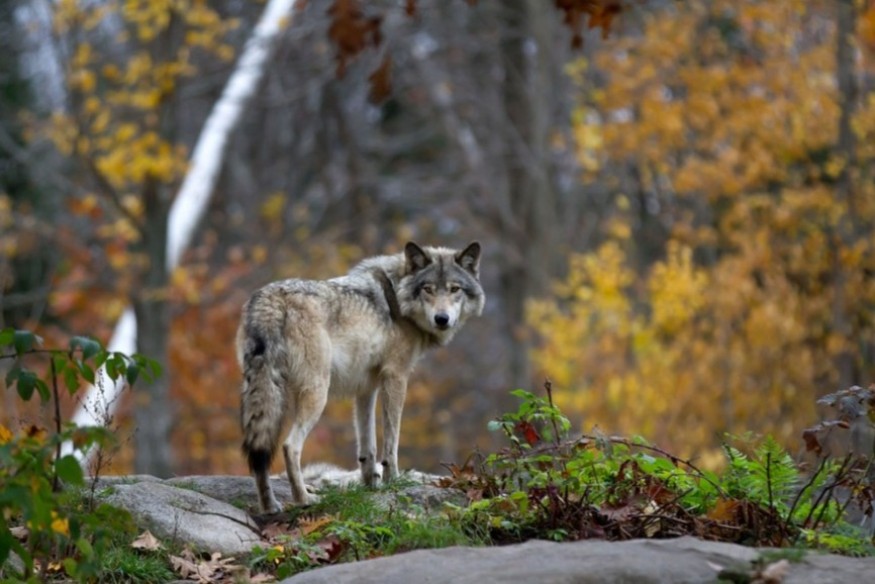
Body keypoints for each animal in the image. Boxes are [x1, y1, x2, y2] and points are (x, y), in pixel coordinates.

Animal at [237, 241, 484, 513]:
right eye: (428, 289)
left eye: (454, 289)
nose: (442, 319)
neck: (397, 298)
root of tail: (270, 298)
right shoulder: (396, 377)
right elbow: (391, 442)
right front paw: (392, 481)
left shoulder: (366, 387)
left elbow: (368, 446)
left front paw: (371, 485)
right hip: (317, 393)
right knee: (290, 446)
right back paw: (304, 499)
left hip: (263, 393)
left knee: (259, 453)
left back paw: (270, 506)